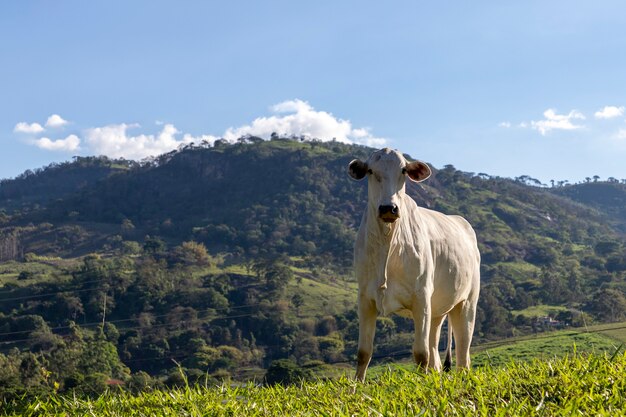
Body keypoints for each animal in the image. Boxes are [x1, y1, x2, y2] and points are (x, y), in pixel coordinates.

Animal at [346, 146, 478, 380]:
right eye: (371, 171)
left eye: (403, 171)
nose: (388, 208)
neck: (388, 242)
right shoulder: (365, 298)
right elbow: (363, 352)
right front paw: (356, 386)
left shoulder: (421, 297)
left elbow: (420, 354)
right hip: (437, 311)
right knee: (435, 353)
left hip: (466, 303)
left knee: (462, 353)